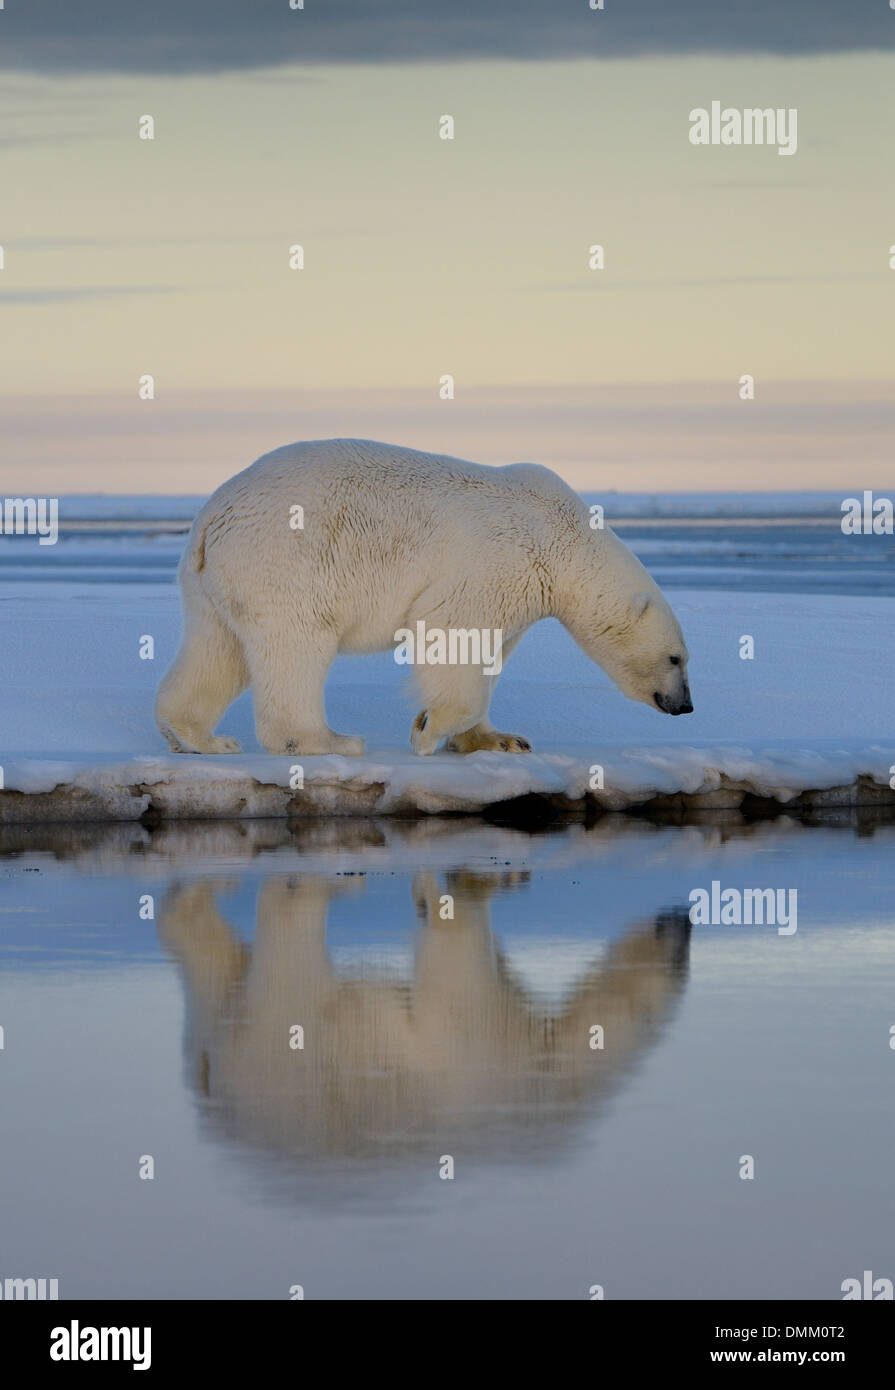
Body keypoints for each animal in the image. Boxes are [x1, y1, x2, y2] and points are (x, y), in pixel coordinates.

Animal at [155, 436, 692, 756]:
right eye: (675, 658)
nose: (685, 706)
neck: (566, 537)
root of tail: (210, 518)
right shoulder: (499, 560)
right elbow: (452, 634)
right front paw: (426, 730)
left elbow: (489, 654)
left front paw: (500, 740)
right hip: (286, 563)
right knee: (295, 647)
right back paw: (330, 740)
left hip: (214, 581)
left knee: (215, 649)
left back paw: (198, 738)